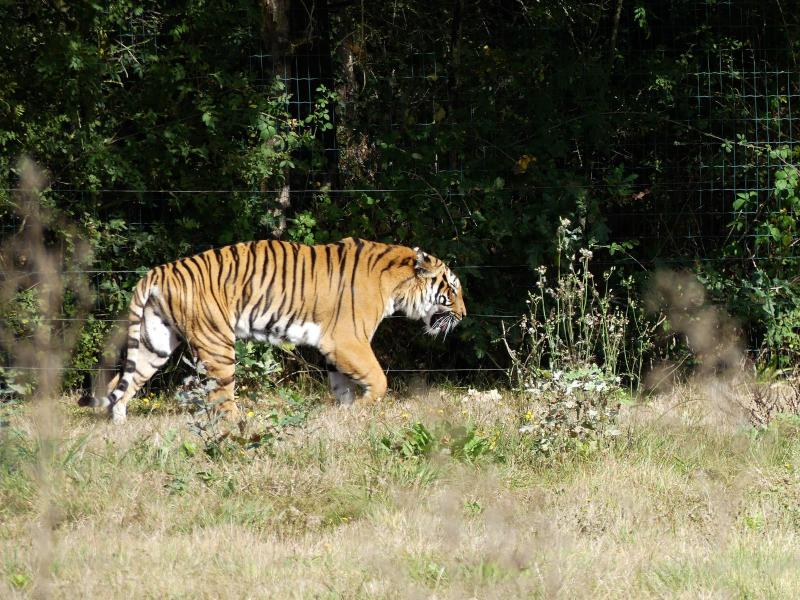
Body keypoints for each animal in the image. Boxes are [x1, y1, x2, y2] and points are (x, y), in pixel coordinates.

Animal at [79, 237, 466, 423]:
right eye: (451, 288)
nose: (463, 315)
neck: (396, 285)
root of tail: (159, 271)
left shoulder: (335, 348)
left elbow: (342, 386)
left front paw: (345, 415)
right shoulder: (347, 340)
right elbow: (378, 378)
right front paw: (364, 408)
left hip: (155, 341)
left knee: (120, 384)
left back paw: (117, 425)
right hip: (217, 343)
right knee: (222, 397)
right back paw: (240, 426)